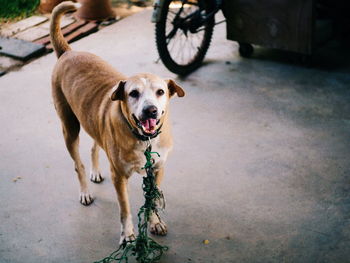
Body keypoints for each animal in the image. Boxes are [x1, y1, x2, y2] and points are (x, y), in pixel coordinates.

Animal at [51, 2, 186, 245]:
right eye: (133, 93)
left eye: (160, 92)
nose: (150, 110)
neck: (144, 139)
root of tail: (68, 52)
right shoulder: (119, 176)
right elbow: (125, 208)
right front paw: (127, 235)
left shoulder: (158, 170)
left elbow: (152, 199)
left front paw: (155, 222)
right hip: (69, 128)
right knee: (78, 164)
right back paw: (85, 191)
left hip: (93, 122)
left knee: (94, 146)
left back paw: (95, 172)